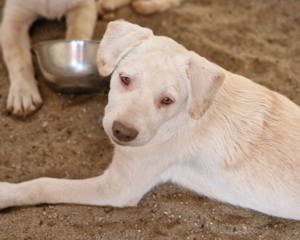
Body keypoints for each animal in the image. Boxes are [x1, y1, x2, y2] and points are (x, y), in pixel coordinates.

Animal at [0, 19, 300, 220]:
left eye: (167, 100)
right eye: (124, 79)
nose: (122, 132)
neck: (183, 116)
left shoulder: (118, 187)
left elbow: (45, 184)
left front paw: (6, 193)